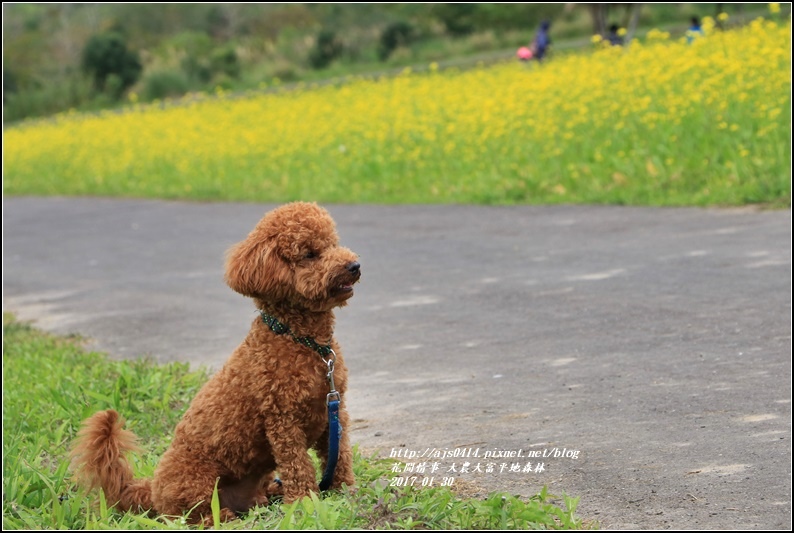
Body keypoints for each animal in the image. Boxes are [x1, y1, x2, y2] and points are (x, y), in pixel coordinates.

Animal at [69, 202, 360, 520]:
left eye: (333, 244)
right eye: (309, 254)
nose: (354, 266)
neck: (302, 341)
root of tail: (150, 490)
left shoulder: (334, 411)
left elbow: (340, 455)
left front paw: (345, 491)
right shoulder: (284, 421)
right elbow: (298, 465)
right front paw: (304, 504)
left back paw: (270, 494)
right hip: (194, 483)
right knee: (194, 515)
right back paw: (225, 517)